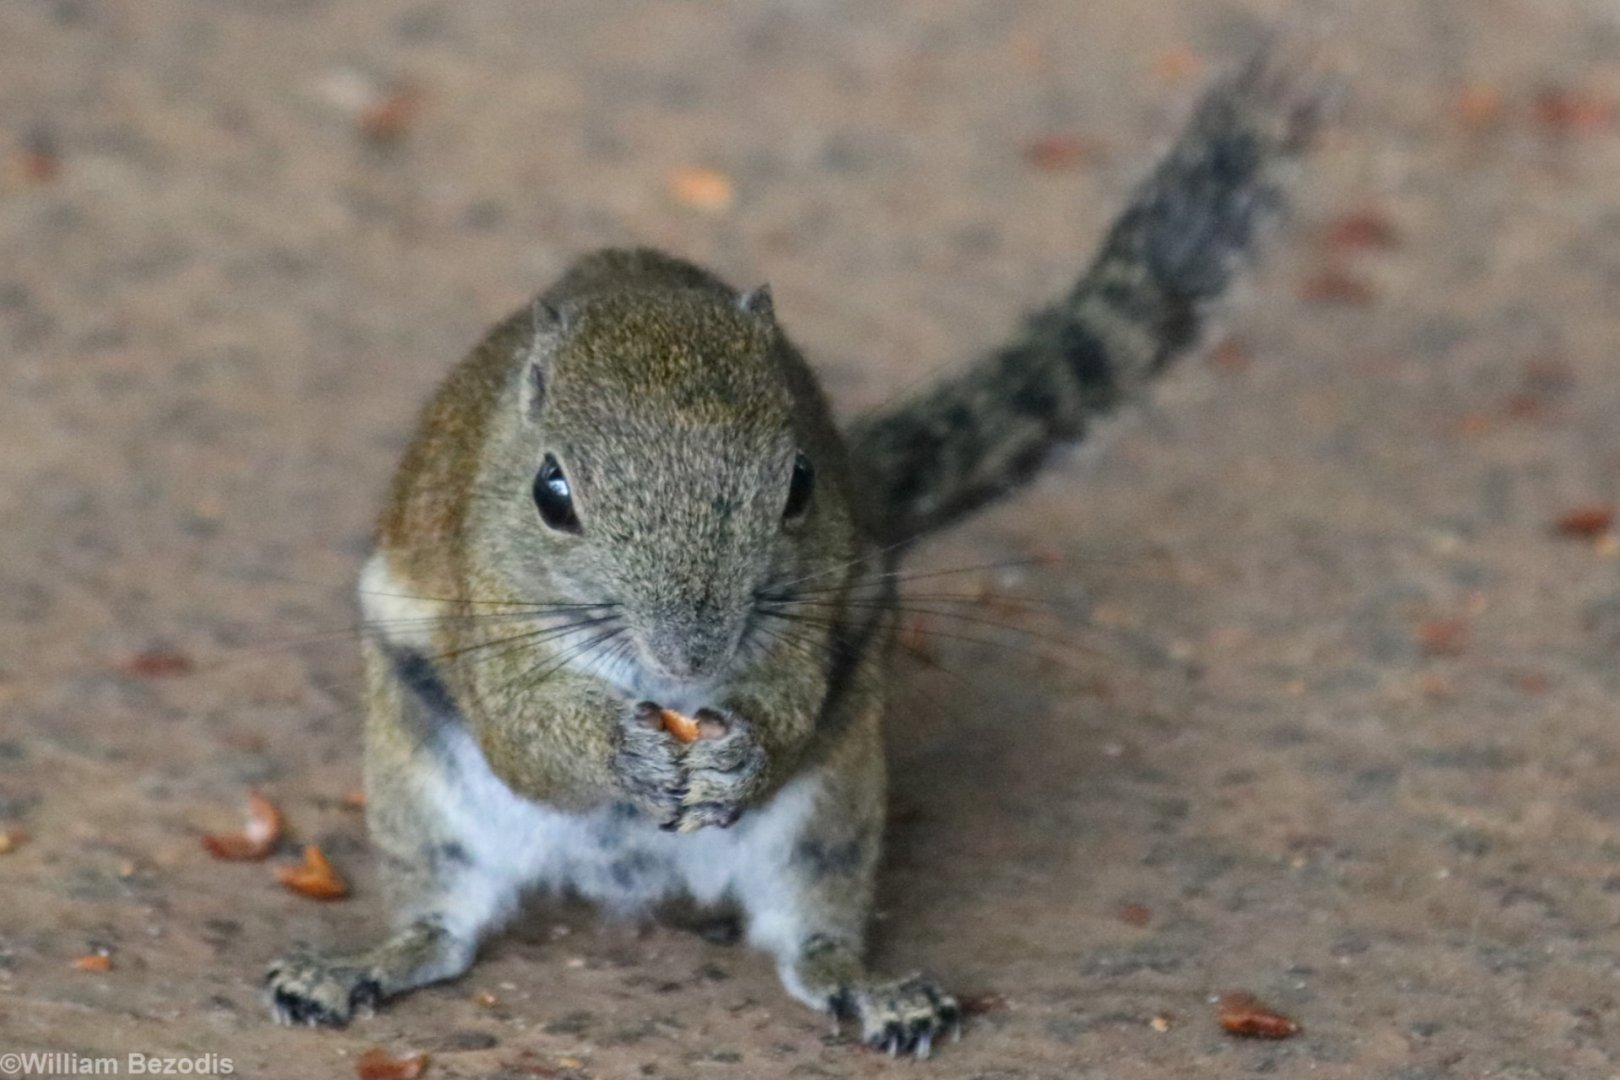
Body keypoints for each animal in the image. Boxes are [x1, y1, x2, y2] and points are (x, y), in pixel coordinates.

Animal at [266, 44, 1326, 1056]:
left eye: (803, 483)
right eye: (551, 494)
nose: (689, 657)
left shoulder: (811, 630)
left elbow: (791, 703)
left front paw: (742, 754)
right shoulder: (484, 617)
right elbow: (527, 738)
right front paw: (621, 753)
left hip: (827, 820)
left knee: (808, 937)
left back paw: (869, 988)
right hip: (425, 800)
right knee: (441, 929)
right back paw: (359, 966)